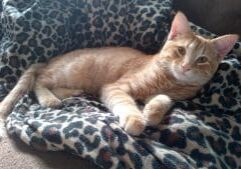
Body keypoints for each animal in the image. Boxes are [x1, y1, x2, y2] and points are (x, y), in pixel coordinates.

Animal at [0, 11, 237, 137]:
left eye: (202, 60)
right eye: (181, 51)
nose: (186, 66)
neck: (169, 80)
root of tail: (49, 60)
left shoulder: (165, 94)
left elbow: (164, 99)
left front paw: (152, 113)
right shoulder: (117, 87)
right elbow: (125, 103)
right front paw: (136, 119)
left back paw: (71, 93)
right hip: (69, 70)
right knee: (37, 82)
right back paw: (49, 99)